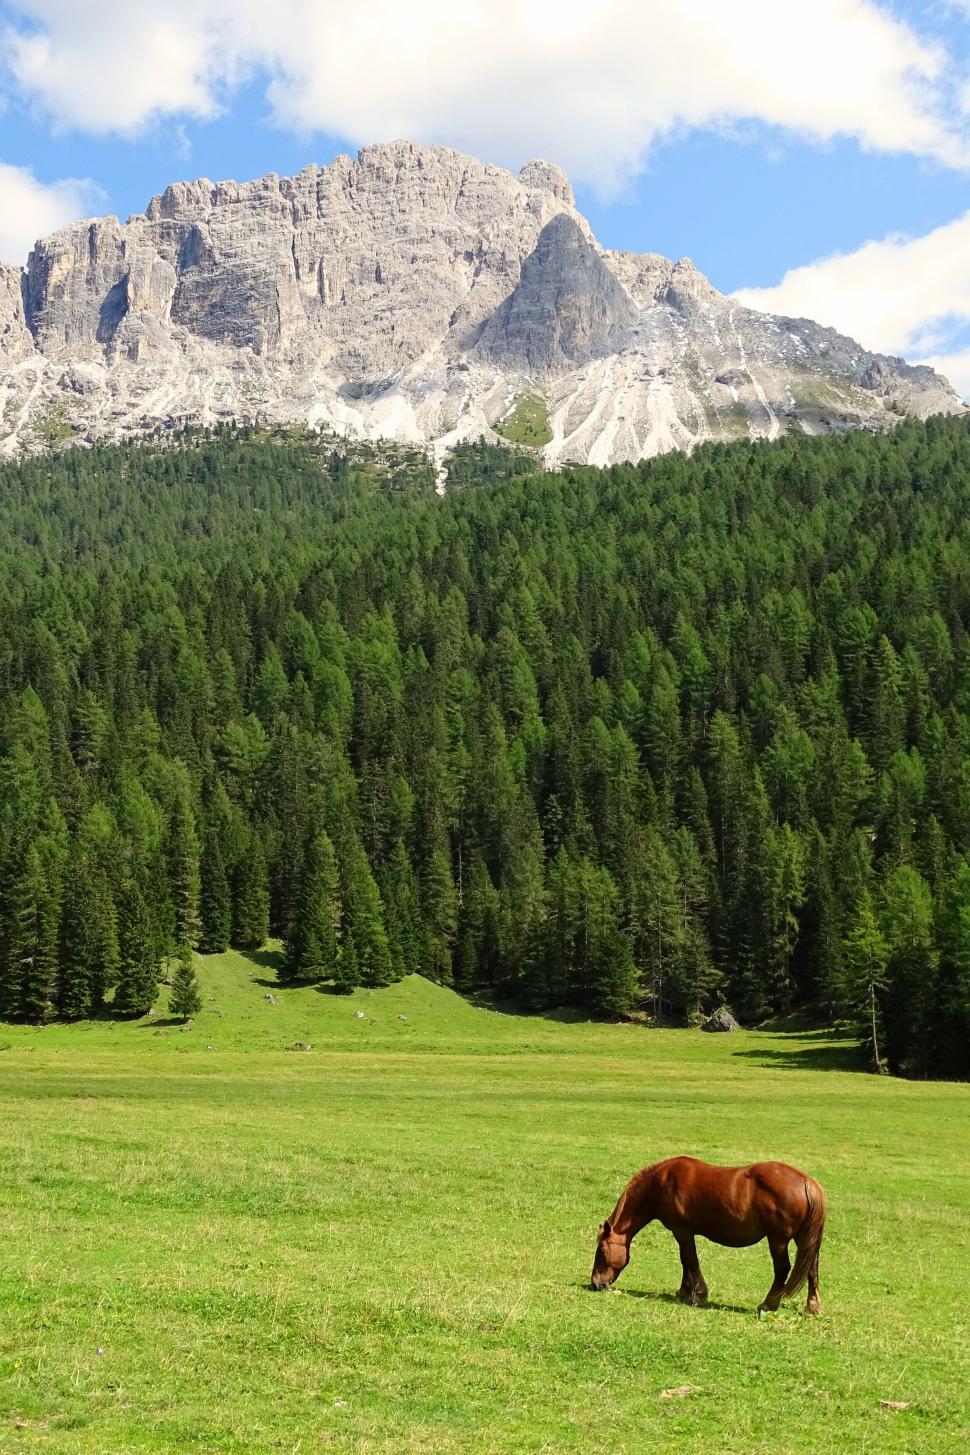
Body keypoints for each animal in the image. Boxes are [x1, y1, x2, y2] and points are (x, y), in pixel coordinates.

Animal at [590, 1156, 825, 1315]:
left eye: (601, 1250)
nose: (595, 1284)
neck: (661, 1183)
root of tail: (807, 1182)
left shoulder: (682, 1230)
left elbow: (690, 1260)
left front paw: (698, 1295)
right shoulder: (682, 1233)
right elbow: (685, 1261)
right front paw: (684, 1292)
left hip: (778, 1240)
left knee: (782, 1269)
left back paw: (768, 1304)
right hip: (804, 1240)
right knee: (812, 1269)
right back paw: (812, 1307)